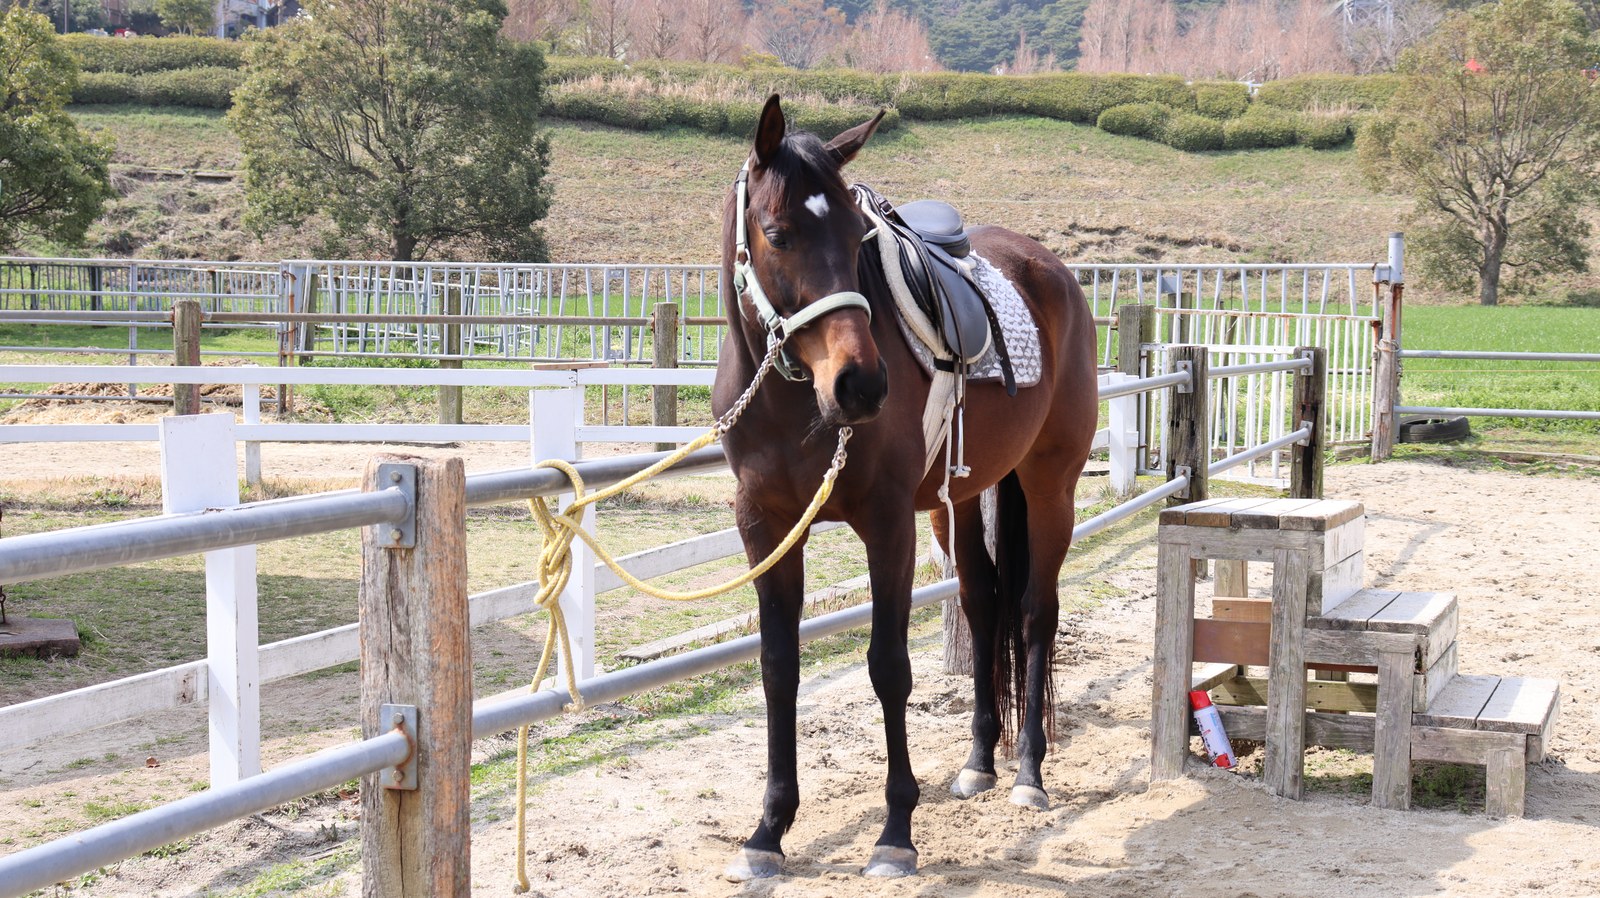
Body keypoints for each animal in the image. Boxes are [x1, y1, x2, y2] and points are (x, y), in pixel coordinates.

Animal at [712, 95, 1098, 880]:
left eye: (854, 233)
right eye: (778, 233)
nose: (861, 385)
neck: (793, 401)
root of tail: (1050, 269)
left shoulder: (887, 524)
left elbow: (888, 667)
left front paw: (895, 832)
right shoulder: (765, 525)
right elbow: (777, 667)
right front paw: (769, 830)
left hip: (1050, 487)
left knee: (1034, 612)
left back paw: (1028, 774)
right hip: (961, 503)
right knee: (984, 607)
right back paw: (980, 761)